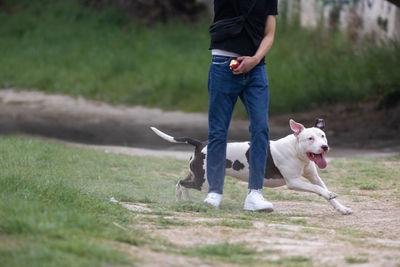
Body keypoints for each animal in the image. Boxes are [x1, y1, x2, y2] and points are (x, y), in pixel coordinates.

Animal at [152, 119, 352, 216]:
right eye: (310, 138)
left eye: (323, 135)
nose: (324, 147)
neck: (296, 150)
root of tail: (200, 144)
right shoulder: (294, 182)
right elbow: (318, 190)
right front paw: (329, 194)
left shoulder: (314, 176)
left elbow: (322, 188)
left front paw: (342, 208)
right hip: (204, 182)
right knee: (181, 183)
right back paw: (185, 200)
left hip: (198, 176)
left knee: (180, 183)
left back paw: (183, 201)